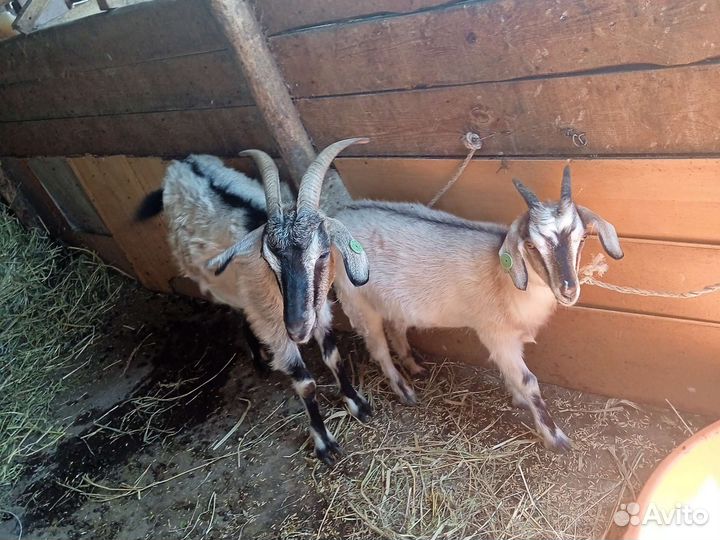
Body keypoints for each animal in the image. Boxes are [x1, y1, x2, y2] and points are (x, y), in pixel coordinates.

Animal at [137, 139, 371, 463]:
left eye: (323, 254)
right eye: (268, 260)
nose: (297, 329)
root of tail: (182, 164)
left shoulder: (319, 310)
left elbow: (333, 357)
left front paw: (356, 402)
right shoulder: (276, 329)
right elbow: (306, 384)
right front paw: (324, 442)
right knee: (240, 310)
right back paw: (258, 358)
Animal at [332, 166, 623, 451]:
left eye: (582, 238)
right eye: (531, 245)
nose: (568, 290)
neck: (506, 279)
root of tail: (338, 215)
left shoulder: (510, 338)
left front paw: (518, 399)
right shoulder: (496, 333)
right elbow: (528, 381)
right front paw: (556, 438)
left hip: (395, 302)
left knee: (396, 329)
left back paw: (414, 367)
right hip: (357, 303)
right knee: (378, 350)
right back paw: (404, 390)